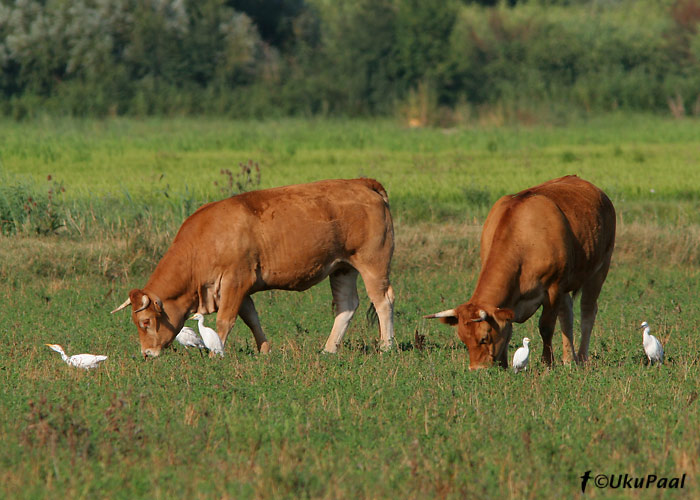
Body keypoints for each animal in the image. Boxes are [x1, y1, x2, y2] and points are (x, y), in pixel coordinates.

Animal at [109, 178, 394, 358]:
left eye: (145, 322)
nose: (147, 353)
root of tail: (361, 182)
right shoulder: (239, 289)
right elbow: (251, 318)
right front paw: (264, 350)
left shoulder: (236, 281)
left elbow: (225, 320)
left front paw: (216, 353)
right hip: (342, 268)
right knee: (347, 305)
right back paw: (328, 349)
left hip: (373, 264)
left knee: (383, 301)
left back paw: (386, 346)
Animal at [424, 176, 616, 368]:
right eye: (463, 339)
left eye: (484, 338)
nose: (476, 369)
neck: (523, 239)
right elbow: (508, 329)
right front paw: (504, 364)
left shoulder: (553, 288)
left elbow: (546, 327)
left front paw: (547, 362)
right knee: (566, 316)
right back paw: (569, 359)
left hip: (600, 269)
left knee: (587, 312)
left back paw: (582, 357)